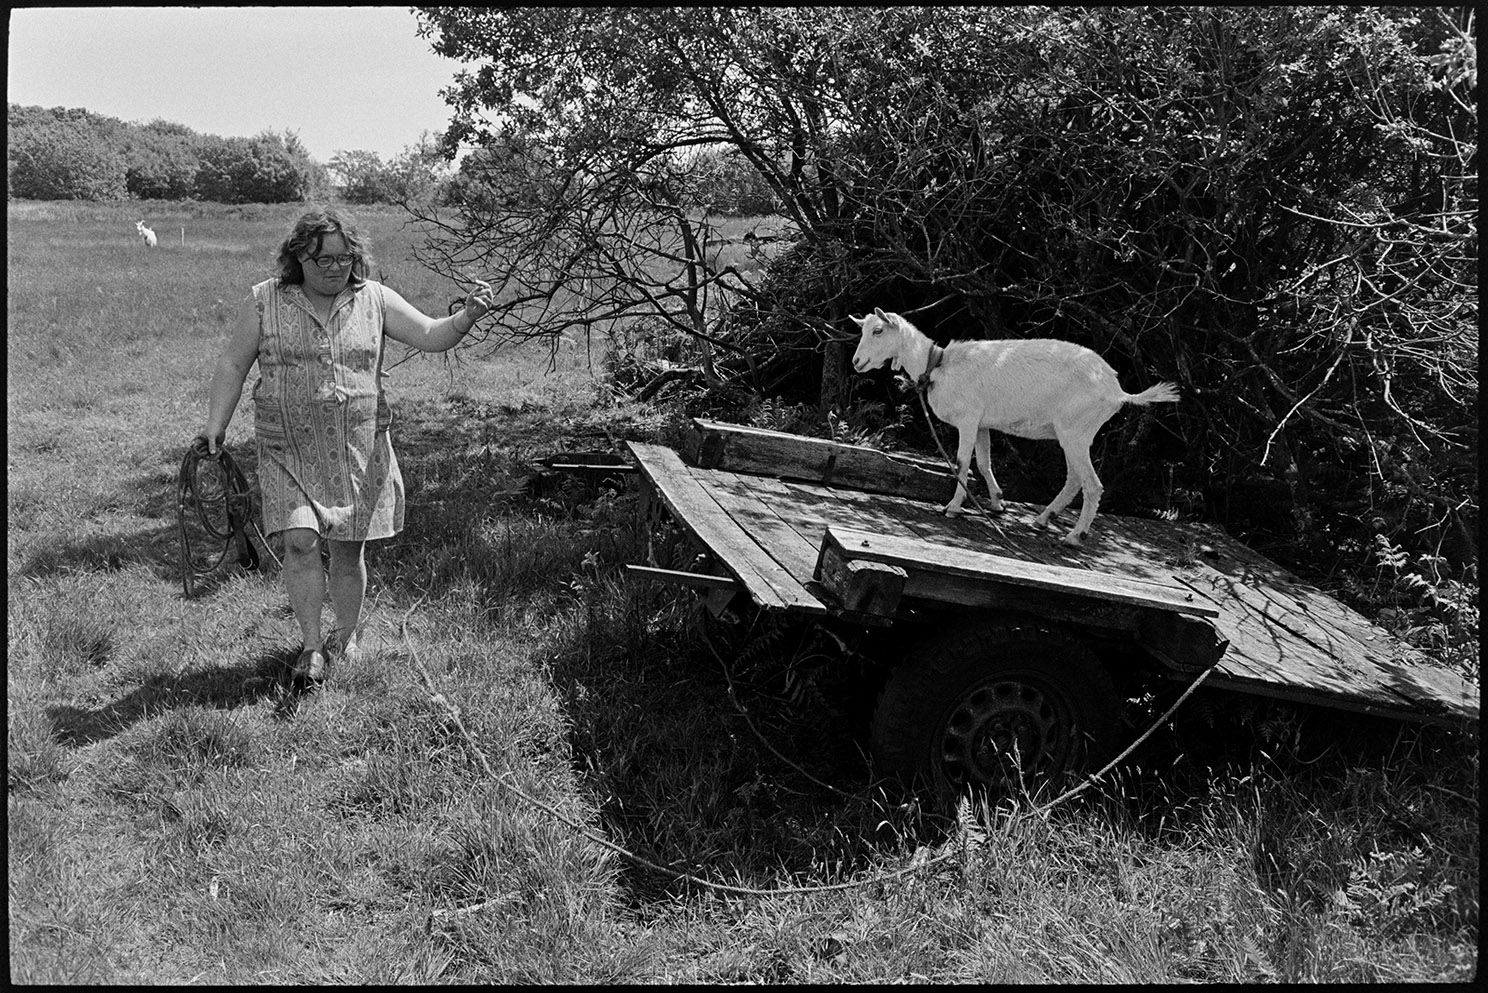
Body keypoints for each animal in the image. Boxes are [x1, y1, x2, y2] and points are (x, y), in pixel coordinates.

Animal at [857, 308, 1178, 547]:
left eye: (878, 331)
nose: (857, 361)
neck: (938, 365)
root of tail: (1117, 390)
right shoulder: (982, 423)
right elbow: (983, 462)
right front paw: (998, 503)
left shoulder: (968, 419)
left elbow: (962, 463)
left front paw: (952, 508)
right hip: (1074, 433)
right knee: (1075, 478)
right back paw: (1044, 519)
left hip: (1076, 430)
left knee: (1092, 484)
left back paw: (1074, 536)